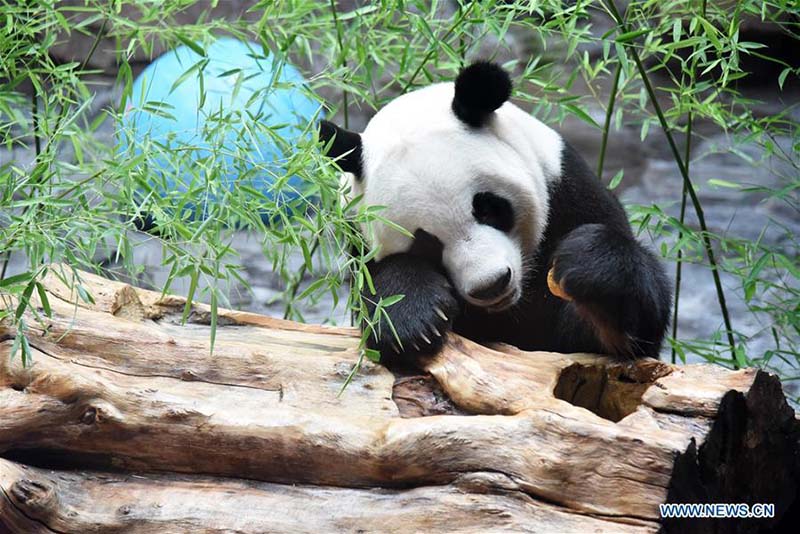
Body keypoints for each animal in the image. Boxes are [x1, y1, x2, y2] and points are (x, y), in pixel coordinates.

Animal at [316, 61, 672, 364]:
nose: (491, 285)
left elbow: (605, 342)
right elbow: (379, 295)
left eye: (487, 208)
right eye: (426, 243)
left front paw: (590, 272)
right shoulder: (357, 242)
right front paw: (413, 318)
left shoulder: (570, 192)